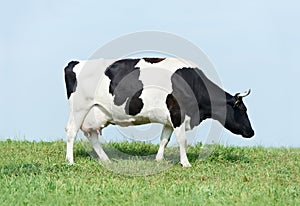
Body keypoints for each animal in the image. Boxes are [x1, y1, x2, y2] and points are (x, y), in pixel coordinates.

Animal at [64, 57, 254, 167]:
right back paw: (70, 161)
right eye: (243, 109)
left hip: (95, 113)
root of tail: (75, 63)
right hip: (79, 108)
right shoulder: (178, 113)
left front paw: (159, 159)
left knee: (92, 135)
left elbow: (164, 139)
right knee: (71, 131)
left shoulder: (169, 118)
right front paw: (185, 163)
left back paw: (106, 159)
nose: (251, 132)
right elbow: (182, 140)